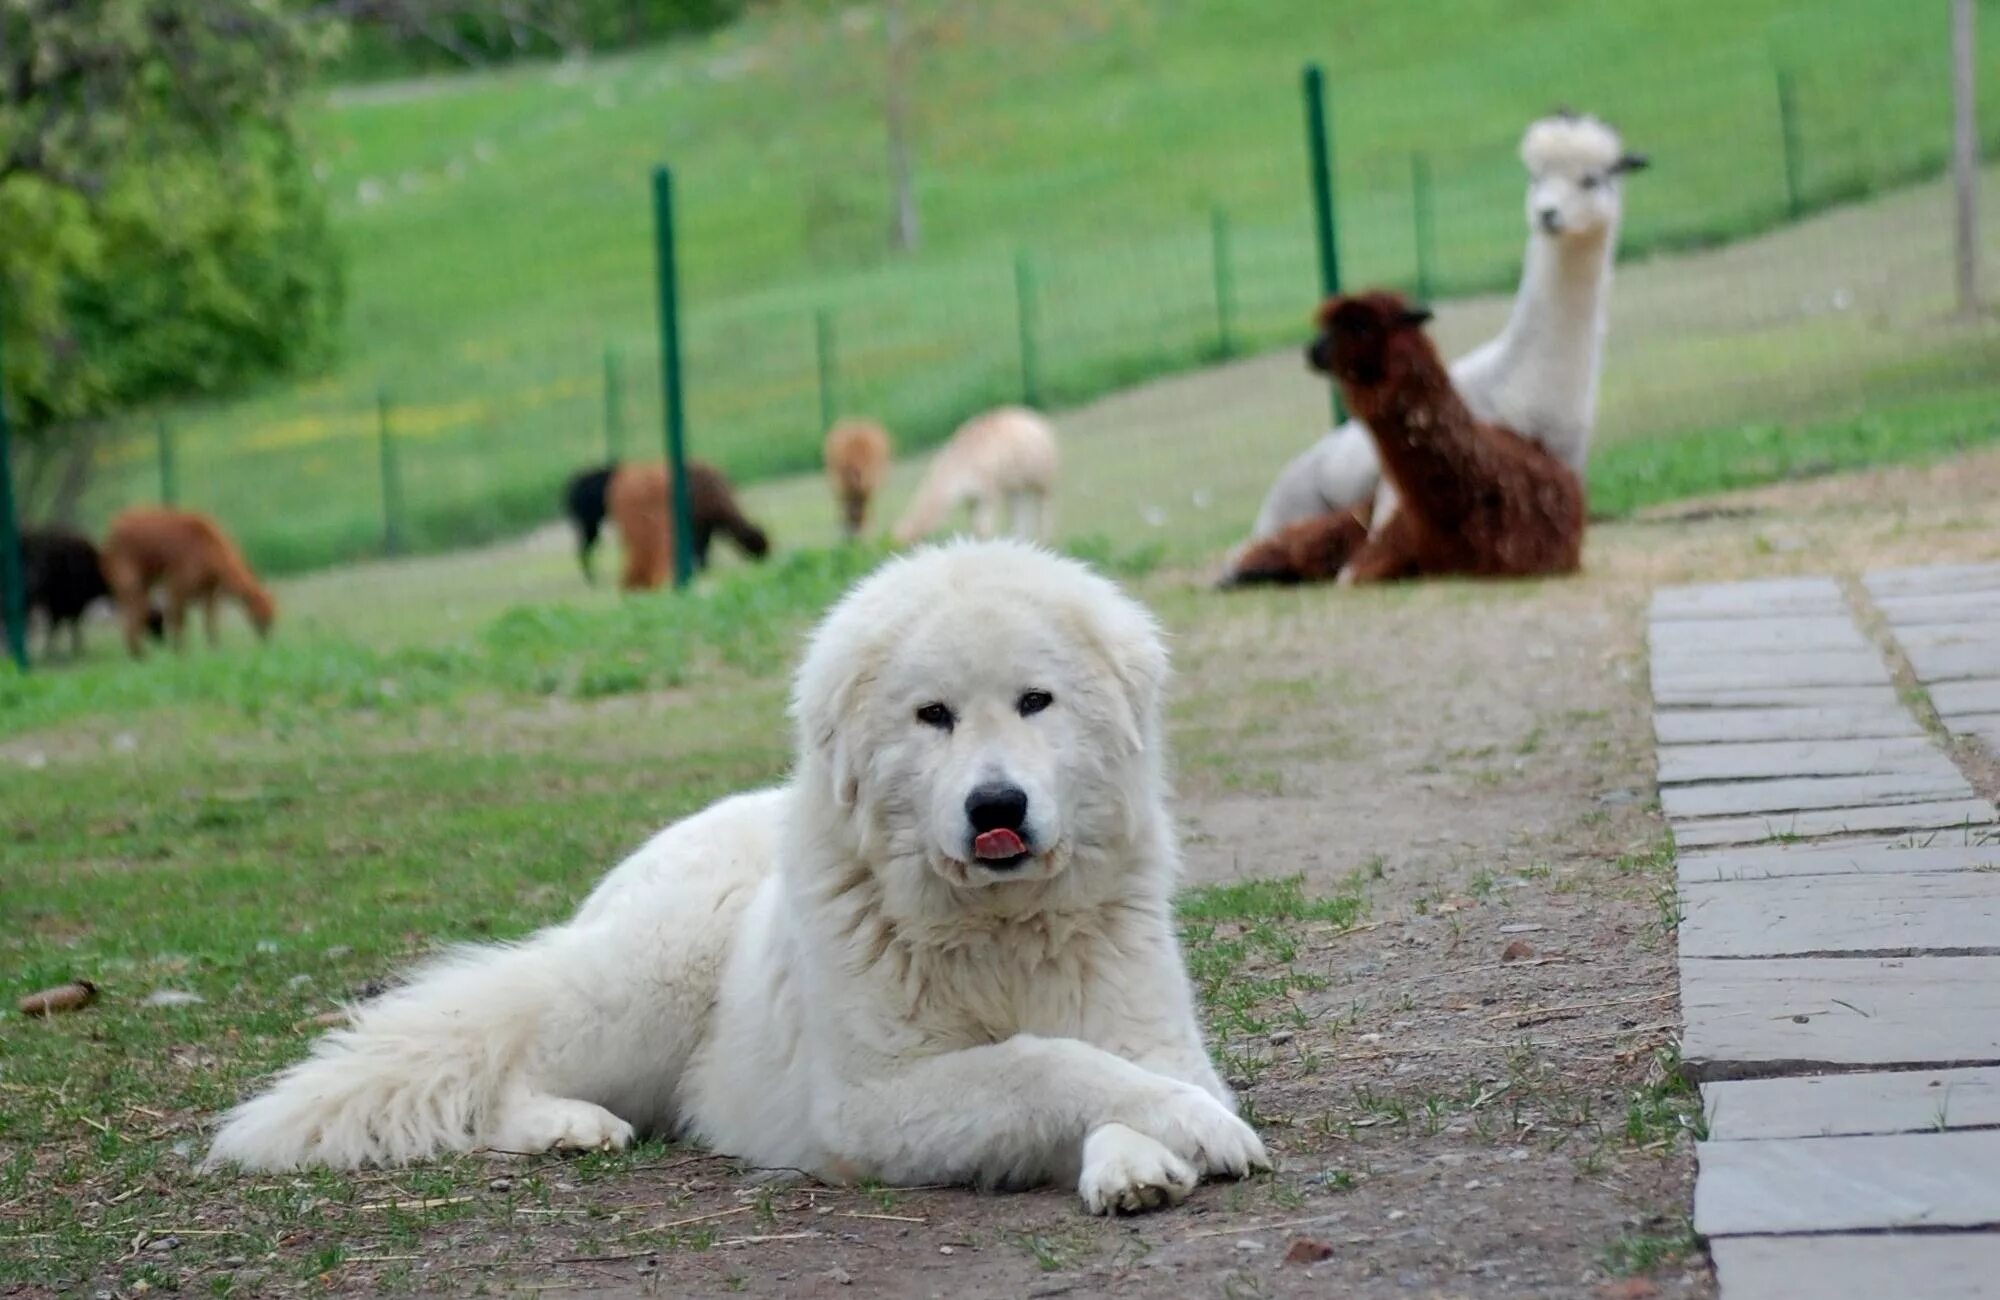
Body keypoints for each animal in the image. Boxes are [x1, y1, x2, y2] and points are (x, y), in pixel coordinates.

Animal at [207, 536, 1264, 1208]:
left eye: (1036, 702)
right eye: (934, 716)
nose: (995, 808)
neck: (994, 926)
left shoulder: (1148, 1032)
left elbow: (1111, 1068)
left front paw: (1140, 1157)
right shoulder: (873, 1104)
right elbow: (1043, 1064)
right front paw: (1193, 1129)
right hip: (651, 984)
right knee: (510, 1068)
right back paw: (567, 1127)